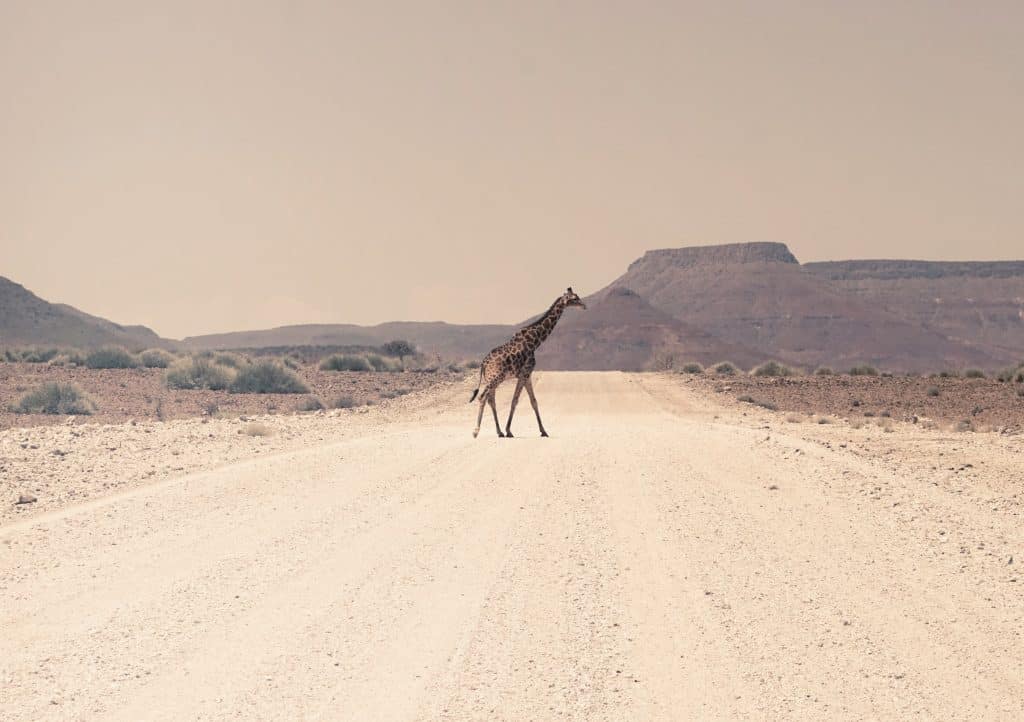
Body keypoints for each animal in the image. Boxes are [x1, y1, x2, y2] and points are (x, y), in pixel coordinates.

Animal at [470, 287, 586, 438]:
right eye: (574, 298)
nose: (584, 306)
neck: (535, 341)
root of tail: (483, 363)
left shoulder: (527, 375)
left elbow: (533, 401)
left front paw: (543, 431)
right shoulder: (524, 373)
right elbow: (515, 400)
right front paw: (509, 431)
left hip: (492, 379)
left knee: (491, 399)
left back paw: (499, 432)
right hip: (496, 377)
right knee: (482, 397)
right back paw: (476, 431)